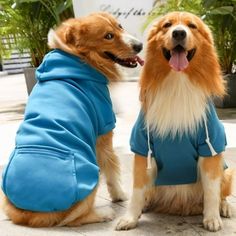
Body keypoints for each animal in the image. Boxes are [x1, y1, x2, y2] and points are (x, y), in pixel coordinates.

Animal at [0, 12, 143, 228]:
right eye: (108, 36)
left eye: (120, 26)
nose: (140, 45)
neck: (78, 58)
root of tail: (27, 216)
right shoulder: (104, 132)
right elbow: (112, 170)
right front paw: (119, 196)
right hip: (90, 173)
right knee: (73, 219)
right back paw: (103, 215)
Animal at [115, 11, 233, 232]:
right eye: (167, 25)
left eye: (192, 26)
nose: (179, 32)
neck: (178, 83)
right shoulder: (142, 149)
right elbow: (137, 191)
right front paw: (130, 217)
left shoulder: (210, 148)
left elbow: (212, 191)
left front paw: (212, 217)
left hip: (227, 170)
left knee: (221, 193)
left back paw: (225, 207)